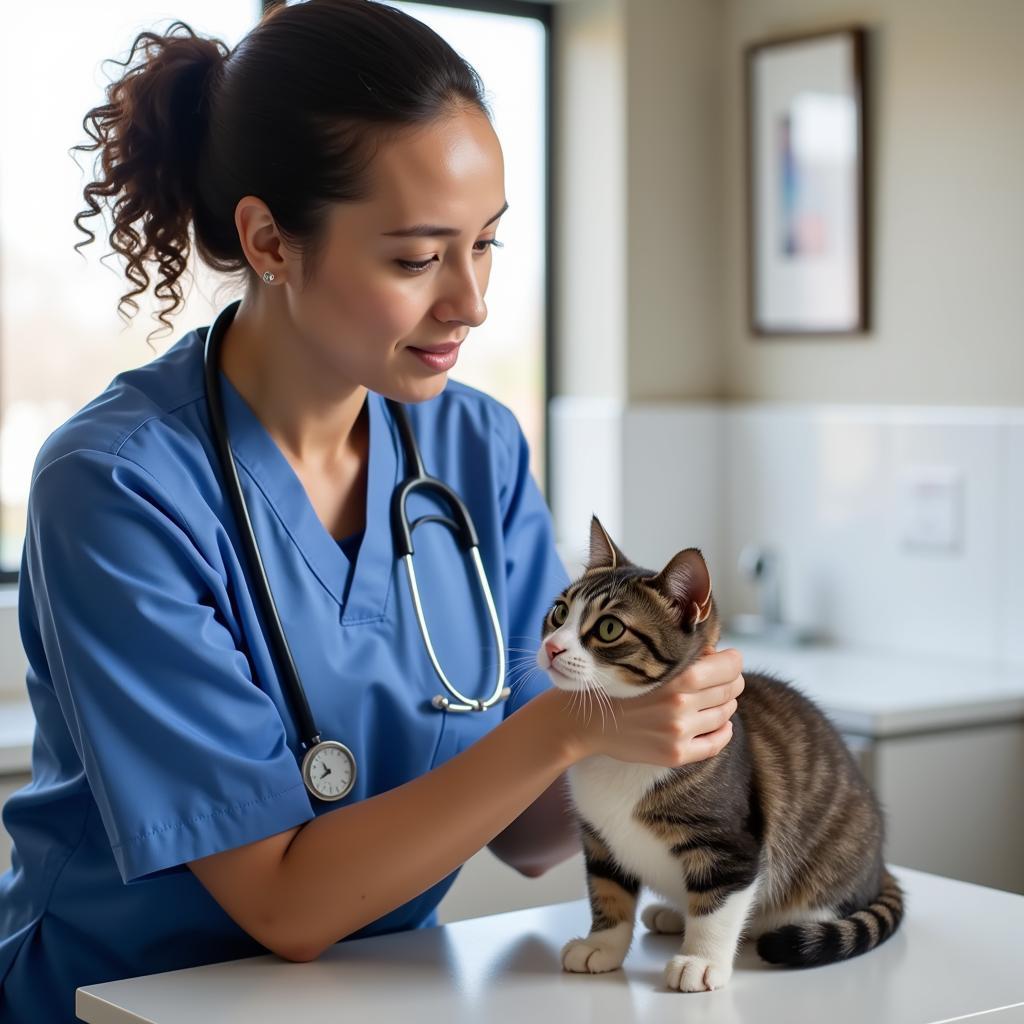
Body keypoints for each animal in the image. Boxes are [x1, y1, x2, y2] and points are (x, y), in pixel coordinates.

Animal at [536, 520, 905, 991]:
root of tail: (878, 867)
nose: (552, 647)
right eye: (559, 612)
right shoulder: (599, 838)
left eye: (609, 629)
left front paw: (700, 960)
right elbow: (608, 889)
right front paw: (602, 944)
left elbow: (718, 902)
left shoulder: (731, 841)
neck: (622, 752)